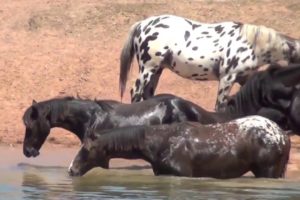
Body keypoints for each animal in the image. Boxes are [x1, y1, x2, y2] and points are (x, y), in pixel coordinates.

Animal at [119, 14, 300, 111]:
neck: (251, 44)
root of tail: (143, 24)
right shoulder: (227, 78)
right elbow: (220, 105)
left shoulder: (244, 78)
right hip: (148, 68)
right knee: (136, 91)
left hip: (157, 70)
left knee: (147, 93)